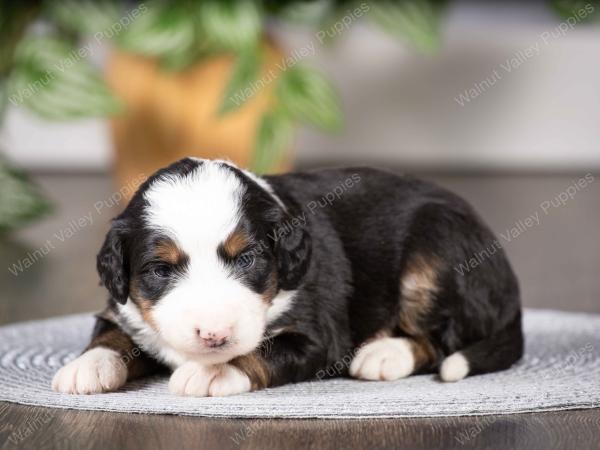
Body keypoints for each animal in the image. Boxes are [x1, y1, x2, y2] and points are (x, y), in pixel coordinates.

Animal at [51, 156, 524, 396]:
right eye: (161, 270)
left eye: (247, 259)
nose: (214, 334)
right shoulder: (121, 307)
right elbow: (110, 335)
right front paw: (86, 366)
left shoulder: (318, 336)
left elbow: (260, 350)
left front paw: (212, 371)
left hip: (433, 253)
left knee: (441, 339)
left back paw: (383, 354)